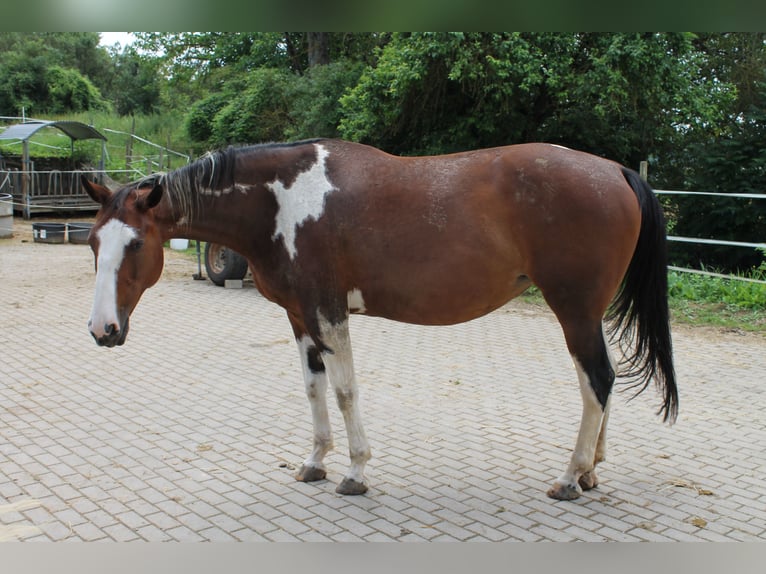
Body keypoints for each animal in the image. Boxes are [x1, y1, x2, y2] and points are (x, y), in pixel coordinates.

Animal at [82, 138, 680, 500]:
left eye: (135, 244)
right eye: (92, 241)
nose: (102, 330)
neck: (280, 202)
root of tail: (615, 170)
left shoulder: (328, 312)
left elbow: (346, 390)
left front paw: (355, 471)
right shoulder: (300, 317)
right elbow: (314, 389)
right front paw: (315, 462)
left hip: (573, 310)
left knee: (595, 381)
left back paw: (569, 477)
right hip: (589, 313)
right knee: (603, 383)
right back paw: (592, 470)